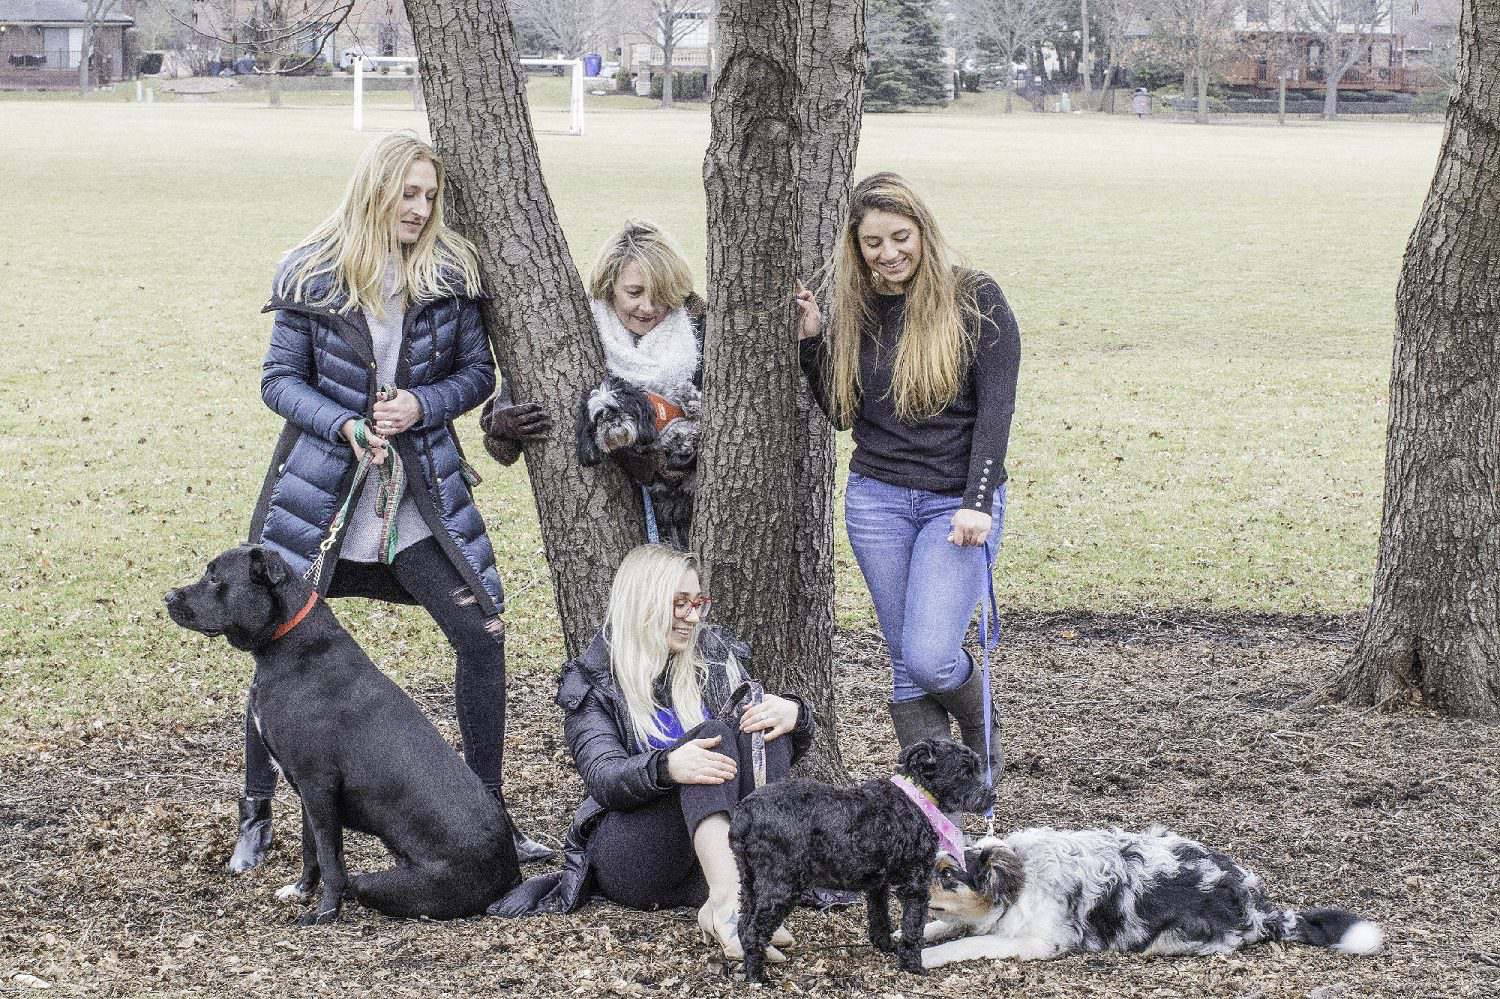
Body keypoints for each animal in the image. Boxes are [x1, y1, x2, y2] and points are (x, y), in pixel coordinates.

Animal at [729, 735, 996, 978]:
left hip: (749, 880)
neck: (915, 798)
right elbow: (913, 927)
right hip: (781, 885)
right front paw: (912, 965)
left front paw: (885, 944)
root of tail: (746, 812)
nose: (991, 796)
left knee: (743, 924)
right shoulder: (916, 885)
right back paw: (757, 977)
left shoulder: (877, 884)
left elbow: (880, 917)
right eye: (964, 771)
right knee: (754, 931)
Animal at [912, 816, 1380, 966]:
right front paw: (906, 935)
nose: (909, 886)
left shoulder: (1036, 941)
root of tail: (1258, 906)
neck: (1020, 876)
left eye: (949, 875)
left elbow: (966, 944)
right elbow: (942, 927)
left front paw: (926, 957)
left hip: (1169, 939)